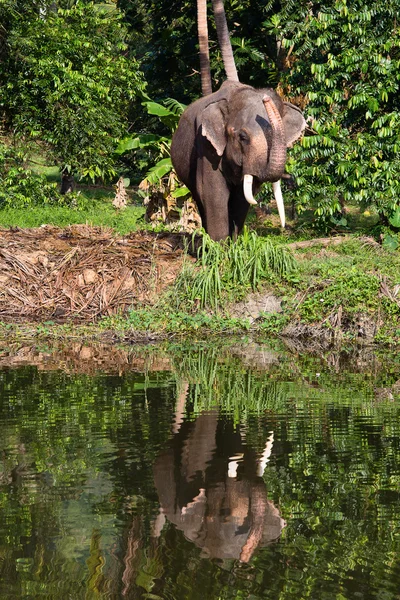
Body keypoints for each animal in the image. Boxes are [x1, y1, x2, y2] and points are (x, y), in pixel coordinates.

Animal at [171, 79, 306, 241]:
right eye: (243, 137)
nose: (266, 98)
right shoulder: (205, 145)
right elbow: (213, 195)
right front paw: (219, 247)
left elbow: (241, 199)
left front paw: (233, 243)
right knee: (200, 198)